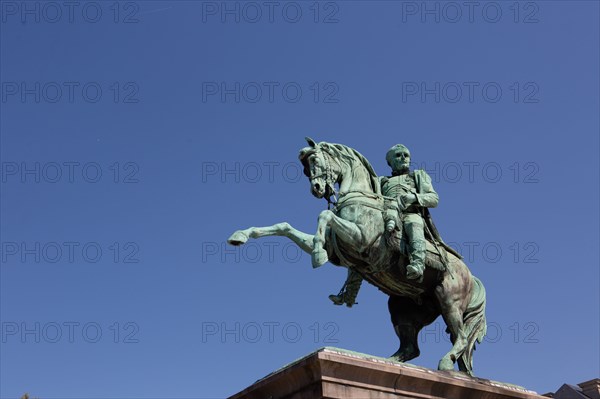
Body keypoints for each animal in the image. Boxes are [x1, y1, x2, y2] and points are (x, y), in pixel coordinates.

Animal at [227, 138, 486, 376]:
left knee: (461, 336)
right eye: (305, 169)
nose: (317, 188)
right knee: (412, 347)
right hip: (402, 309)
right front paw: (240, 235)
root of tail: (471, 277)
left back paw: (445, 363)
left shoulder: (361, 239)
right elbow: (285, 226)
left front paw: (317, 256)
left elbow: (324, 216)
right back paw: (389, 361)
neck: (360, 198)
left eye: (315, 161)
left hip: (449, 300)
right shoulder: (337, 249)